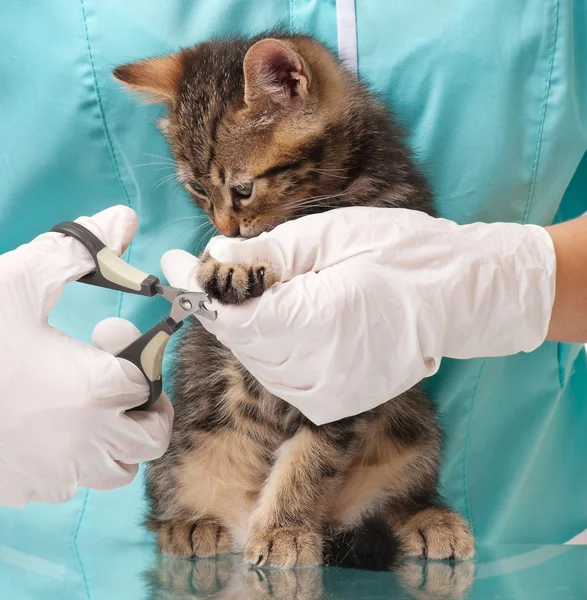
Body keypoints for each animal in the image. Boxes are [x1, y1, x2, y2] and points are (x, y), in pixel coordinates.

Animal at [112, 31, 476, 568]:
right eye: (199, 190)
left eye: (243, 189)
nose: (225, 229)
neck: (340, 188)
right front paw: (235, 259)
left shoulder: (353, 362)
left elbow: (313, 458)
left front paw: (284, 528)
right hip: (183, 447)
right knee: (164, 503)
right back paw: (190, 524)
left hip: (413, 430)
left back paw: (425, 519)